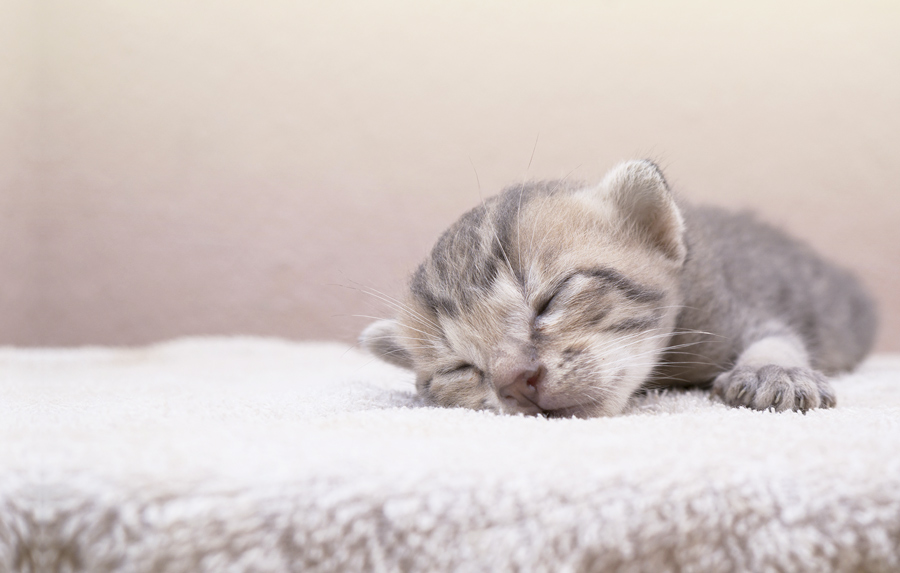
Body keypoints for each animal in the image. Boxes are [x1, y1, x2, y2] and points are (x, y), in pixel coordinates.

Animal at [360, 160, 880, 416]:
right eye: (458, 368)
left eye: (550, 301)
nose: (513, 382)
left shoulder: (734, 308)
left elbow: (777, 337)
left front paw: (778, 372)